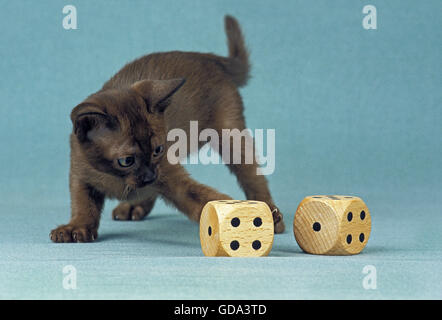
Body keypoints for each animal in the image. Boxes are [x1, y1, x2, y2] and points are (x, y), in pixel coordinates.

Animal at [51, 15, 286, 242]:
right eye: (126, 160)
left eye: (157, 150)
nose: (149, 176)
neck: (116, 179)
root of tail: (210, 57)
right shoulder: (80, 176)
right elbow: (83, 206)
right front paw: (77, 228)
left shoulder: (171, 176)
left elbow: (207, 199)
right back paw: (134, 207)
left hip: (230, 139)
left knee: (253, 176)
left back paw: (273, 215)